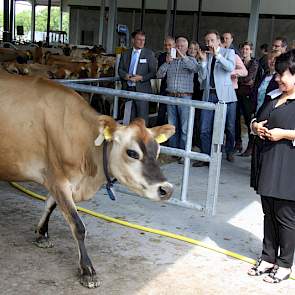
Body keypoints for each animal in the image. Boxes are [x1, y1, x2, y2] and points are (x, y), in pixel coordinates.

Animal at [0, 72, 176, 290]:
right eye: (132, 153)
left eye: (157, 150)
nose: (166, 189)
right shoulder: (57, 179)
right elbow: (78, 225)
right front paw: (88, 271)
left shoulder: (60, 180)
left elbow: (49, 204)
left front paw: (41, 234)